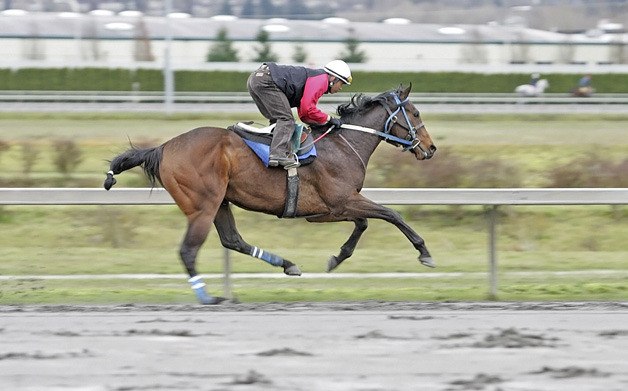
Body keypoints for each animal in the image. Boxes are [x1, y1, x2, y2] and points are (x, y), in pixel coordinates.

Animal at [103, 84, 436, 304]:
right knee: (189, 251)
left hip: (220, 201)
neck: (344, 144)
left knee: (232, 240)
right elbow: (391, 213)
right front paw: (424, 252)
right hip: (203, 205)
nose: (430, 148)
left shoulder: (331, 209)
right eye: (415, 112)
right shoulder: (341, 201)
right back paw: (208, 297)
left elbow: (364, 223)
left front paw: (337, 258)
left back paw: (287, 265)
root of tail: (163, 147)